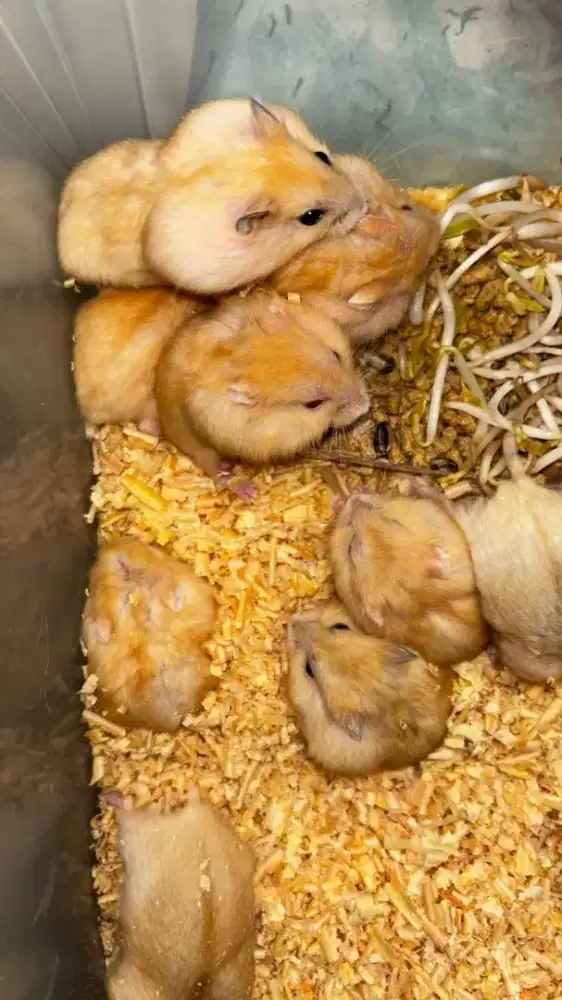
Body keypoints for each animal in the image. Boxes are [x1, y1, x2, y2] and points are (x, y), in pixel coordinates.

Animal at [82, 538, 218, 731]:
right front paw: (105, 634)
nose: (109, 547)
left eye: (152, 547)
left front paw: (171, 602)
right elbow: (103, 615)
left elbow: (167, 586)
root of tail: (175, 720)